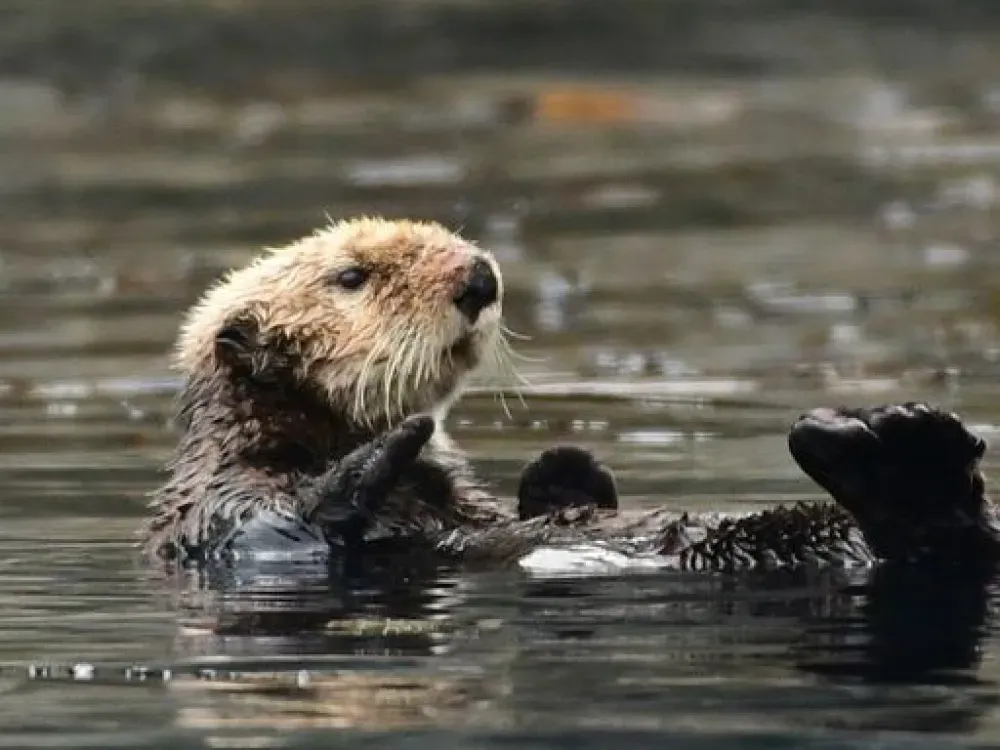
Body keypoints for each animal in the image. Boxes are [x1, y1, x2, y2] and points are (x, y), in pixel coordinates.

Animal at [141, 216, 1000, 574]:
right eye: (351, 276)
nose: (477, 277)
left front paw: (564, 465)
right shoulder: (225, 508)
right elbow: (291, 523)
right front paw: (399, 440)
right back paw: (887, 450)